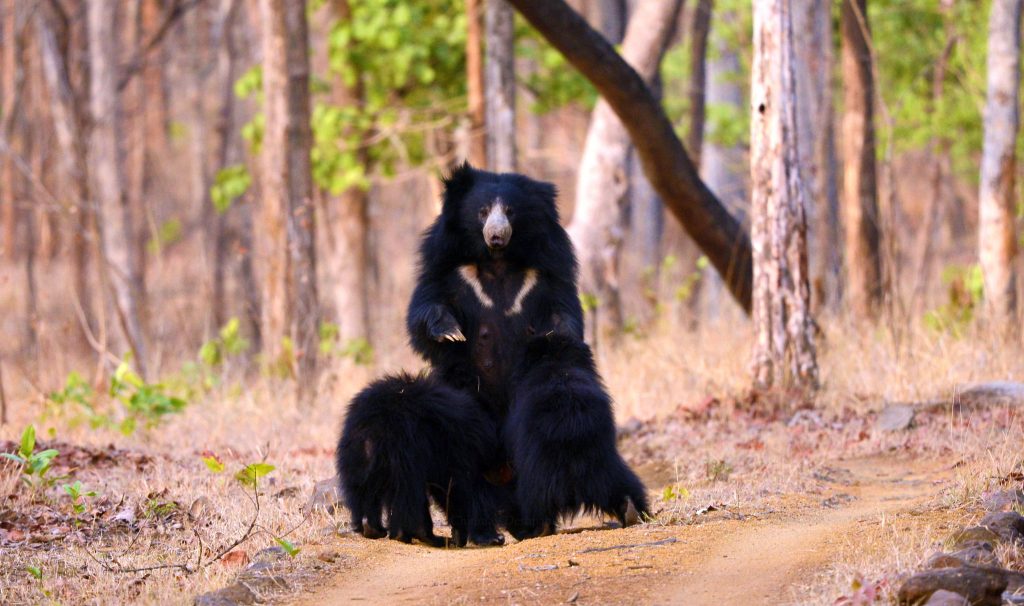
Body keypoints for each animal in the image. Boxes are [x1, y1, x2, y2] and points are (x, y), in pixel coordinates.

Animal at [337, 374, 505, 548]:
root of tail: (376, 424)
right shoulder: (457, 449)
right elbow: (461, 486)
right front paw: (489, 537)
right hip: (405, 447)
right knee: (408, 490)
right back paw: (421, 534)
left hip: (359, 453)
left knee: (364, 488)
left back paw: (372, 528)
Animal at [405, 160, 585, 417]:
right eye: (483, 211)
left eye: (510, 211)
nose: (496, 235)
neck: (498, 259)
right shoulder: (447, 266)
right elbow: (428, 304)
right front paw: (451, 332)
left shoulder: (546, 270)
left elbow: (561, 308)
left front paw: (560, 335)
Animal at [503, 335, 647, 540]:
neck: (556, 362)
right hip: (604, 461)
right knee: (624, 483)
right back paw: (631, 510)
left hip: (541, 469)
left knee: (533, 498)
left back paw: (534, 528)